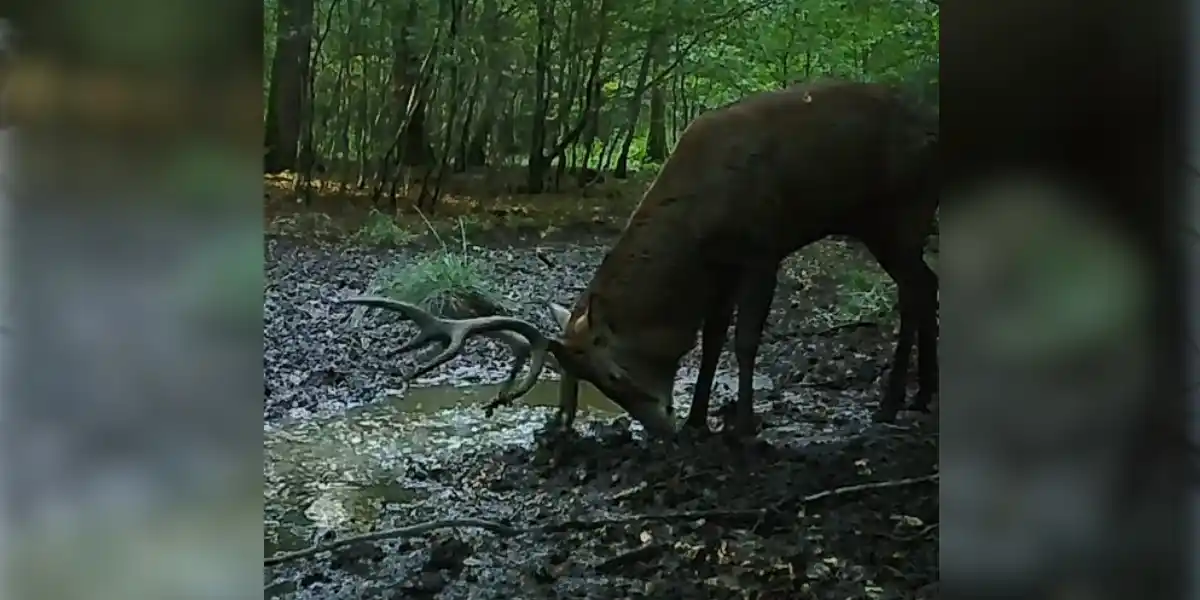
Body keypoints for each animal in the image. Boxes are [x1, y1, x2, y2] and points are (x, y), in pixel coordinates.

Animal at [338, 78, 936, 436]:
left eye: (614, 375)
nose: (659, 426)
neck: (699, 223)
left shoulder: (763, 245)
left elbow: (744, 340)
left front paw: (742, 426)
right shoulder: (720, 266)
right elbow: (711, 340)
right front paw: (699, 420)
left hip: (900, 210)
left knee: (915, 288)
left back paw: (891, 402)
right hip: (883, 223)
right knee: (924, 285)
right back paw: (919, 397)